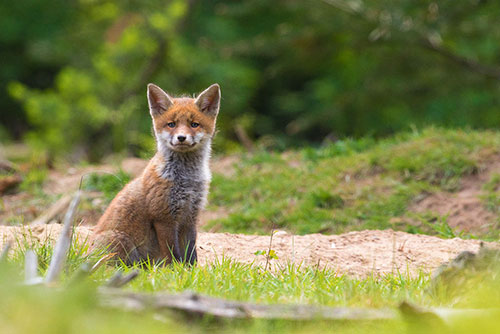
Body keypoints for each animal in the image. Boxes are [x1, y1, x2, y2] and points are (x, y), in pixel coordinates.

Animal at [92, 84, 221, 266]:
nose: (181, 137)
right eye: (171, 124)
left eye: (194, 124)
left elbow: (191, 253)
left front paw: (192, 270)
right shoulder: (163, 217)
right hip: (121, 242)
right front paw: (175, 270)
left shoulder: (190, 217)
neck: (187, 179)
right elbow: (172, 253)